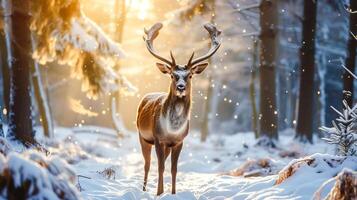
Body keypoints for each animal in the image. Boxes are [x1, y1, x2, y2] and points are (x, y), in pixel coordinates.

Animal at [136, 22, 220, 195]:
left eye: (190, 75)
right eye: (172, 75)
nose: (181, 87)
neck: (172, 129)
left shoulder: (179, 141)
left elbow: (174, 169)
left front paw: (173, 193)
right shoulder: (158, 138)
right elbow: (160, 167)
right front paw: (159, 193)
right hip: (143, 137)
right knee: (147, 164)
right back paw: (144, 189)